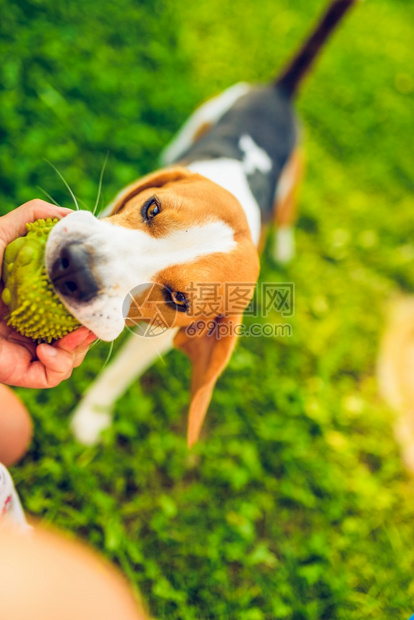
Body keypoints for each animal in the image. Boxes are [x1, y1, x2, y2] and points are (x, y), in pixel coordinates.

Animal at [46, 0, 356, 446]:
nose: (74, 267)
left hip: (292, 184)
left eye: (179, 300)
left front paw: (91, 416)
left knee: (287, 217)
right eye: (151, 208)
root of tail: (278, 94)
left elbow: (119, 375)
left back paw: (285, 246)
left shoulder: (160, 335)